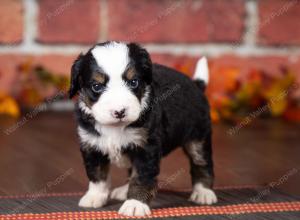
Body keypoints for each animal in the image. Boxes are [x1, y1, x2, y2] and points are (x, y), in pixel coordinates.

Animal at [69, 40, 217, 217]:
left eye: (134, 82)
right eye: (96, 86)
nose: (119, 111)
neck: (115, 127)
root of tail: (196, 84)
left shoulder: (146, 148)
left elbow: (141, 178)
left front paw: (135, 204)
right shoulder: (92, 146)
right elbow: (97, 175)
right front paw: (94, 197)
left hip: (198, 137)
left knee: (202, 162)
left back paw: (203, 192)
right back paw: (123, 190)